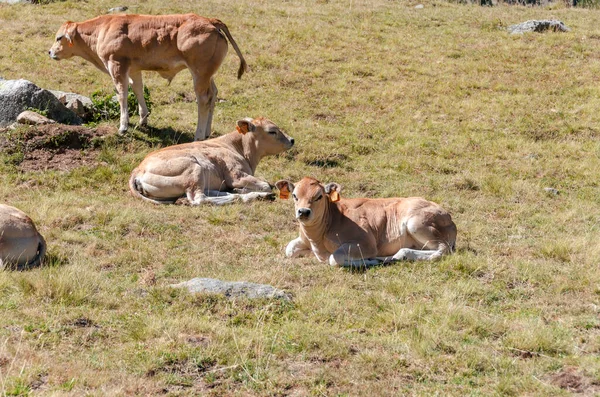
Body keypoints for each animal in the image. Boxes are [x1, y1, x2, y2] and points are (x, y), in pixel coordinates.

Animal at [48, 13, 247, 140]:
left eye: (59, 38)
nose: (50, 52)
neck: (102, 30)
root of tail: (211, 21)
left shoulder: (117, 65)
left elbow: (122, 94)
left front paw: (123, 126)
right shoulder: (134, 69)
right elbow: (137, 89)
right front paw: (143, 119)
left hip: (199, 72)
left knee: (203, 99)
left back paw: (198, 135)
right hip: (208, 74)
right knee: (213, 94)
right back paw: (206, 132)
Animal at [130, 116, 294, 204]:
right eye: (272, 131)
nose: (292, 140)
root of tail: (138, 169)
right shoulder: (236, 175)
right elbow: (266, 185)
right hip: (193, 168)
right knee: (200, 199)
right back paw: (250, 196)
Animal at [276, 177, 460, 268]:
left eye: (319, 196)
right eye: (295, 196)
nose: (303, 212)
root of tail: (448, 216)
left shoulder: (365, 243)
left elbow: (335, 258)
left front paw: (370, 261)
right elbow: (289, 249)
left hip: (417, 223)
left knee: (442, 250)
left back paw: (395, 256)